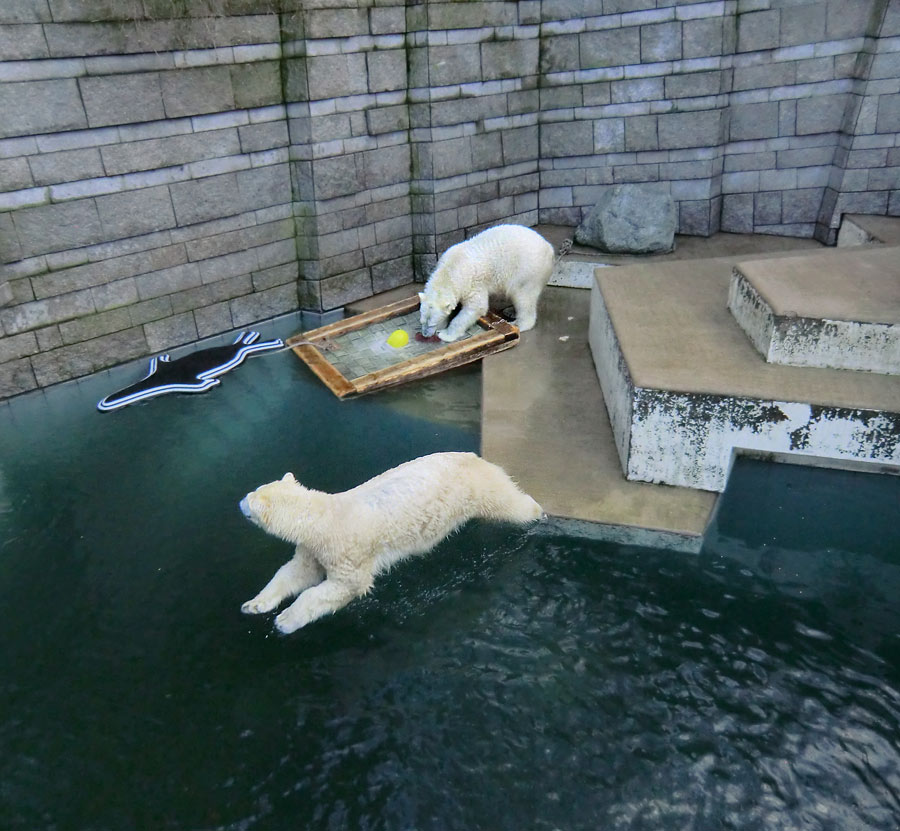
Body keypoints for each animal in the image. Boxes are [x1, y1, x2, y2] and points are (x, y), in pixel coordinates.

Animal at [239, 452, 540, 632]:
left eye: (250, 496)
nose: (239, 502)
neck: (322, 517)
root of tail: (477, 457)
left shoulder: (346, 550)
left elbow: (344, 587)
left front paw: (285, 620)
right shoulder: (314, 549)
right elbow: (293, 573)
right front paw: (253, 604)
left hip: (479, 490)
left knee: (512, 505)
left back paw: (538, 513)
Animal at [420, 223, 556, 342]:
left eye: (432, 324)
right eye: (422, 321)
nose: (425, 335)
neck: (450, 270)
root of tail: (549, 247)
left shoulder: (472, 283)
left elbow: (476, 307)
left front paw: (446, 335)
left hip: (526, 271)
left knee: (523, 296)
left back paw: (518, 324)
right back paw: (511, 311)